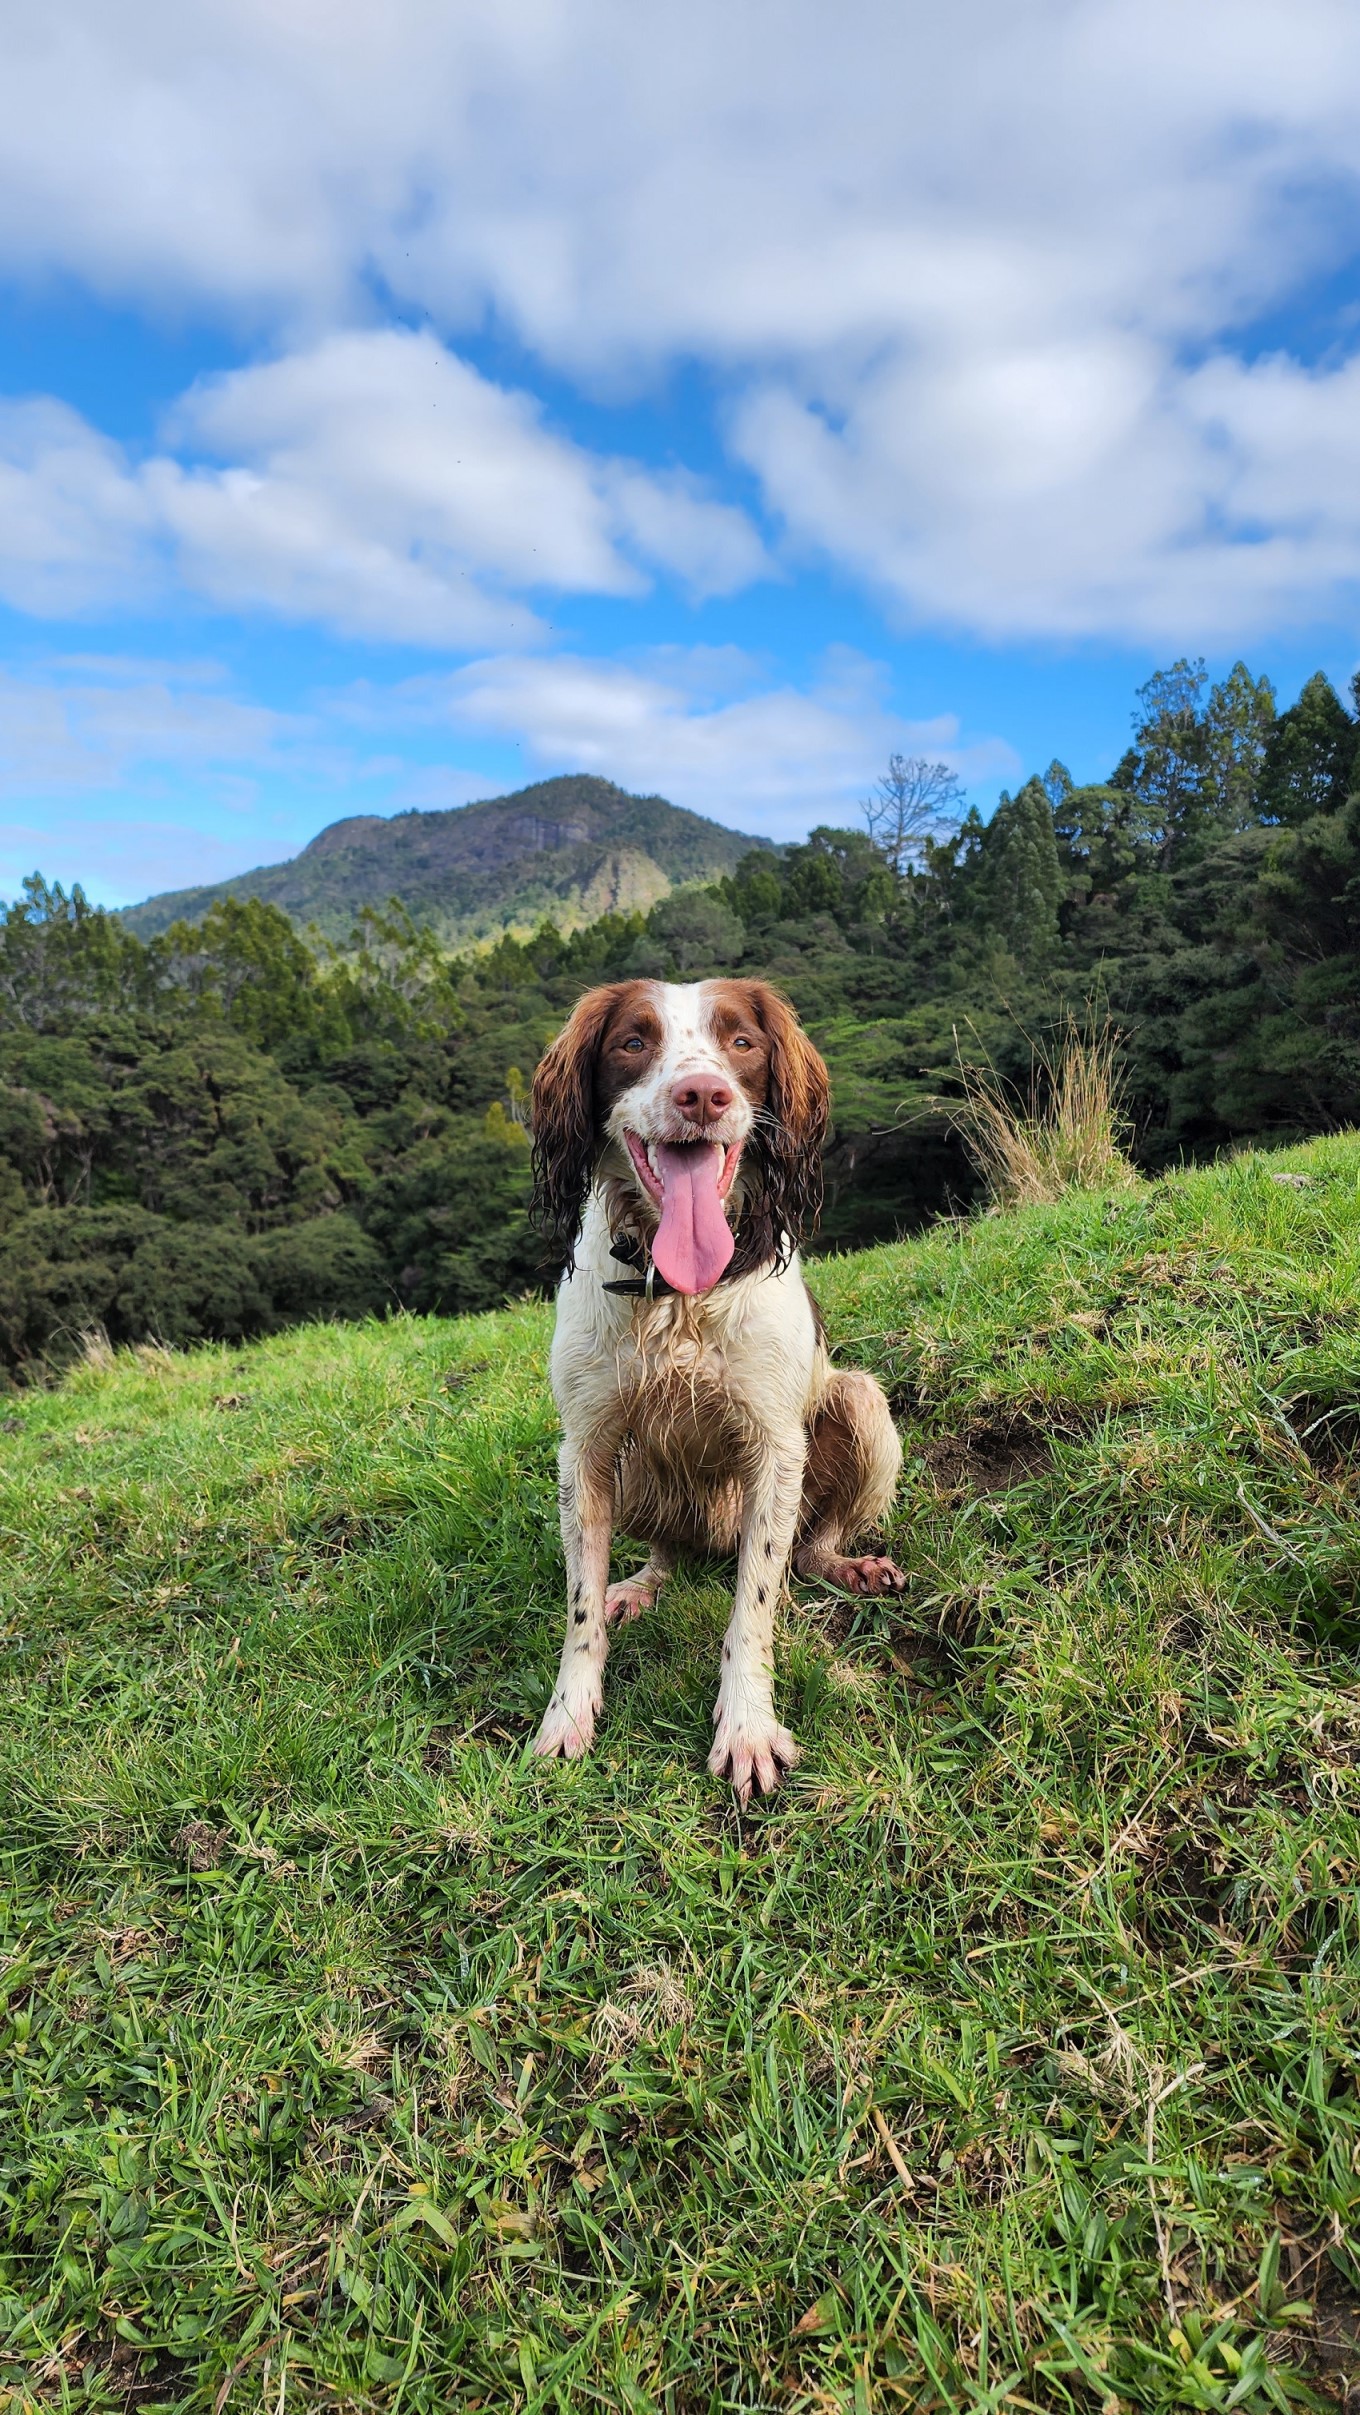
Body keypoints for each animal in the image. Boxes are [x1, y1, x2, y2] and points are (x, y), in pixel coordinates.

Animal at [529, 975, 903, 1796]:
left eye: (741, 1041)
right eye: (633, 1041)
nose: (702, 1094)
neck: (678, 1293)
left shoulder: (776, 1449)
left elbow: (753, 1607)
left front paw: (748, 1726)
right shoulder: (585, 1451)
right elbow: (579, 1612)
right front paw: (567, 1715)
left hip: (862, 1405)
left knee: (803, 1549)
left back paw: (846, 1566)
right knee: (667, 1552)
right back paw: (638, 1585)